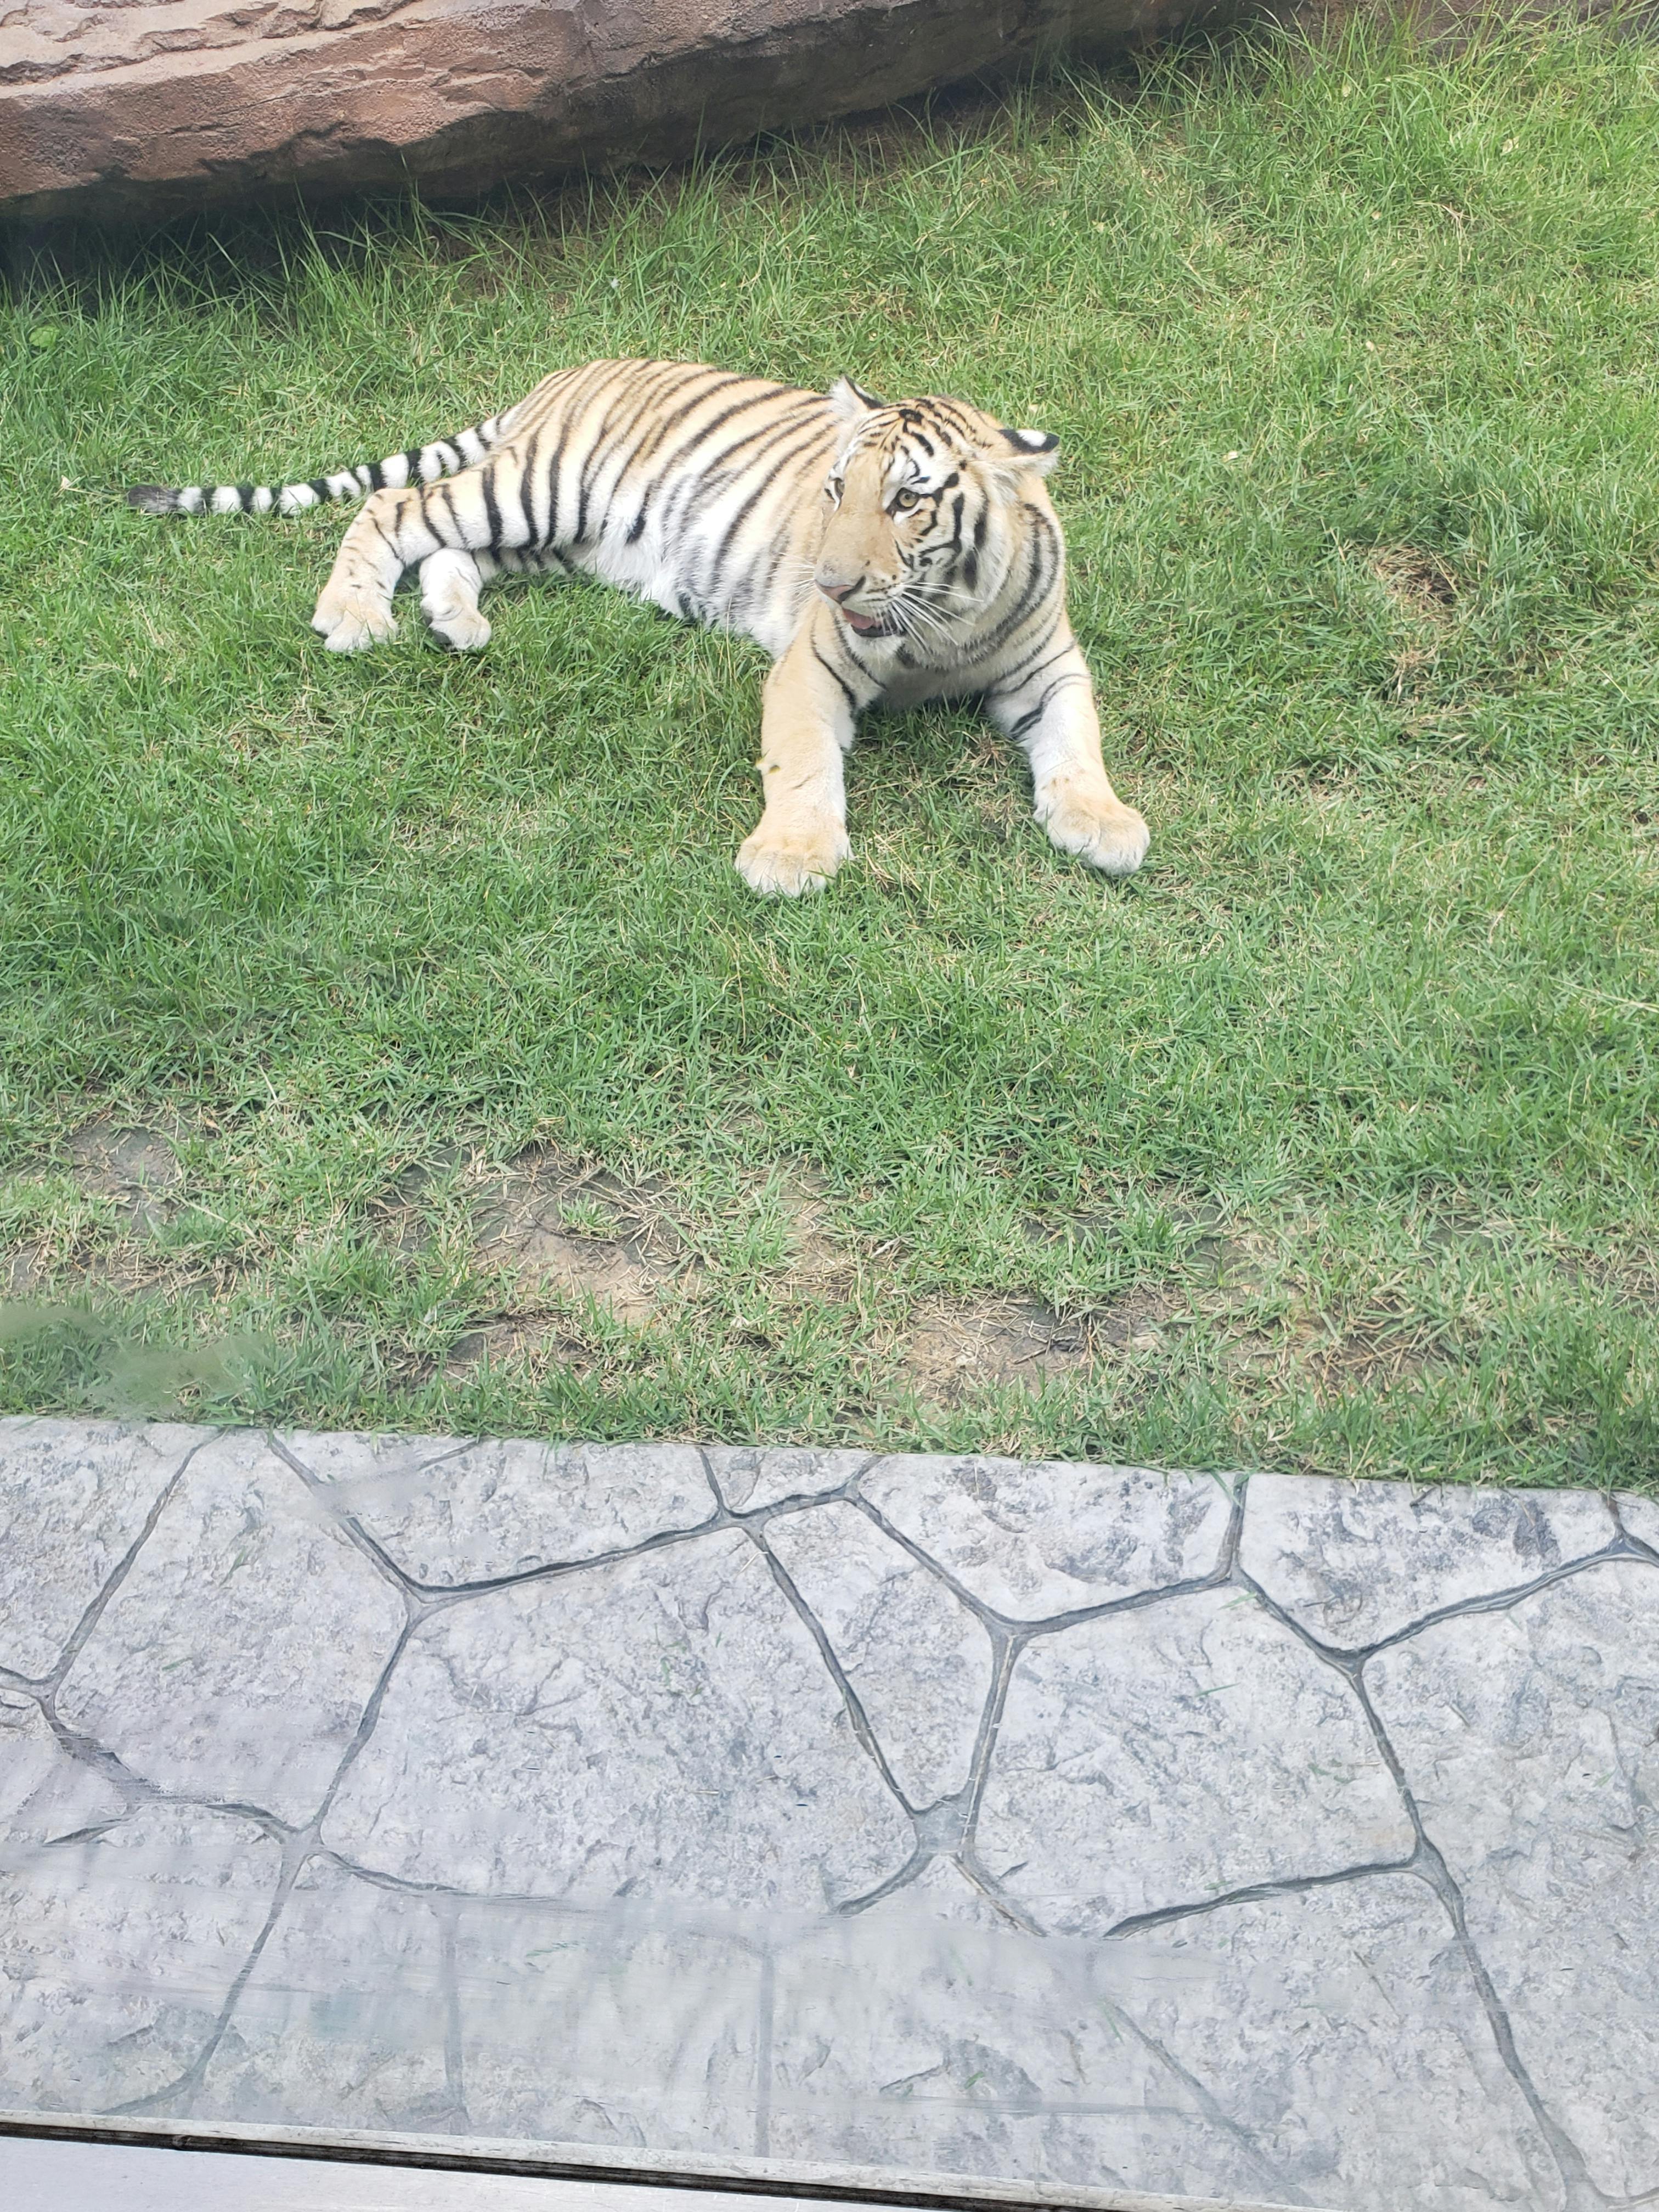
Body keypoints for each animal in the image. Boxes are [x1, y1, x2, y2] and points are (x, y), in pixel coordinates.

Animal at [127, 359, 1150, 897]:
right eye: (834, 490)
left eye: (907, 500)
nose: (829, 579)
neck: (941, 620)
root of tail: (561, 373)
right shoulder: (811, 665)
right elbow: (801, 764)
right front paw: (790, 857)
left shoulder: (1052, 669)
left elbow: (1079, 743)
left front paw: (1102, 825)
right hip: (536, 491)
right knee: (393, 505)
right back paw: (353, 616)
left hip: (555, 539)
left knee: (450, 554)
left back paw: (458, 625)